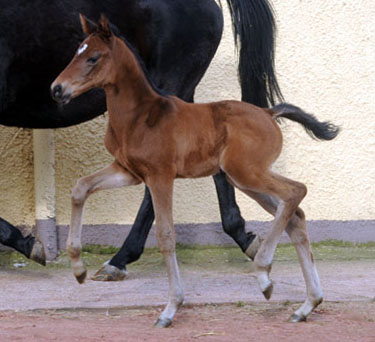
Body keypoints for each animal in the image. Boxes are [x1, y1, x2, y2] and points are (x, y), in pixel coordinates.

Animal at [0, 0, 282, 272]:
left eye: (93, 57)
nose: (57, 89)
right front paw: (28, 244)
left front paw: (27, 244)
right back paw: (244, 237)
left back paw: (120, 258)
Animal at [50, 15, 340, 326]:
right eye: (76, 52)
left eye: (93, 57)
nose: (57, 89)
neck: (140, 116)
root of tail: (268, 113)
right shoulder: (128, 171)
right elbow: (80, 187)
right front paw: (78, 269)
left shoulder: (160, 176)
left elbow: (166, 235)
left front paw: (170, 309)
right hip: (244, 180)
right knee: (294, 215)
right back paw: (306, 305)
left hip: (247, 173)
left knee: (296, 191)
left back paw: (265, 275)